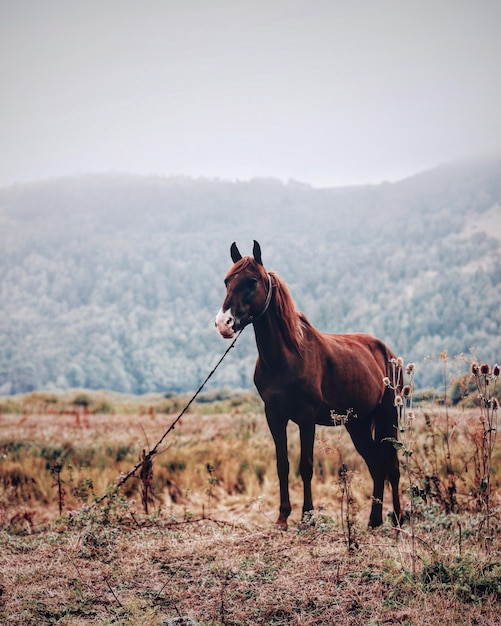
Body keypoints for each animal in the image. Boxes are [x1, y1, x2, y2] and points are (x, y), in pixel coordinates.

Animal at [215, 240, 402, 528]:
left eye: (251, 281)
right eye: (227, 281)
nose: (223, 324)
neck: (286, 356)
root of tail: (388, 353)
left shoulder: (306, 417)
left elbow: (306, 465)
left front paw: (307, 517)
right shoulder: (274, 415)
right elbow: (282, 464)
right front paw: (282, 517)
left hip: (388, 416)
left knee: (392, 465)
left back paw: (400, 519)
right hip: (357, 423)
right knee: (376, 464)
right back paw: (374, 520)